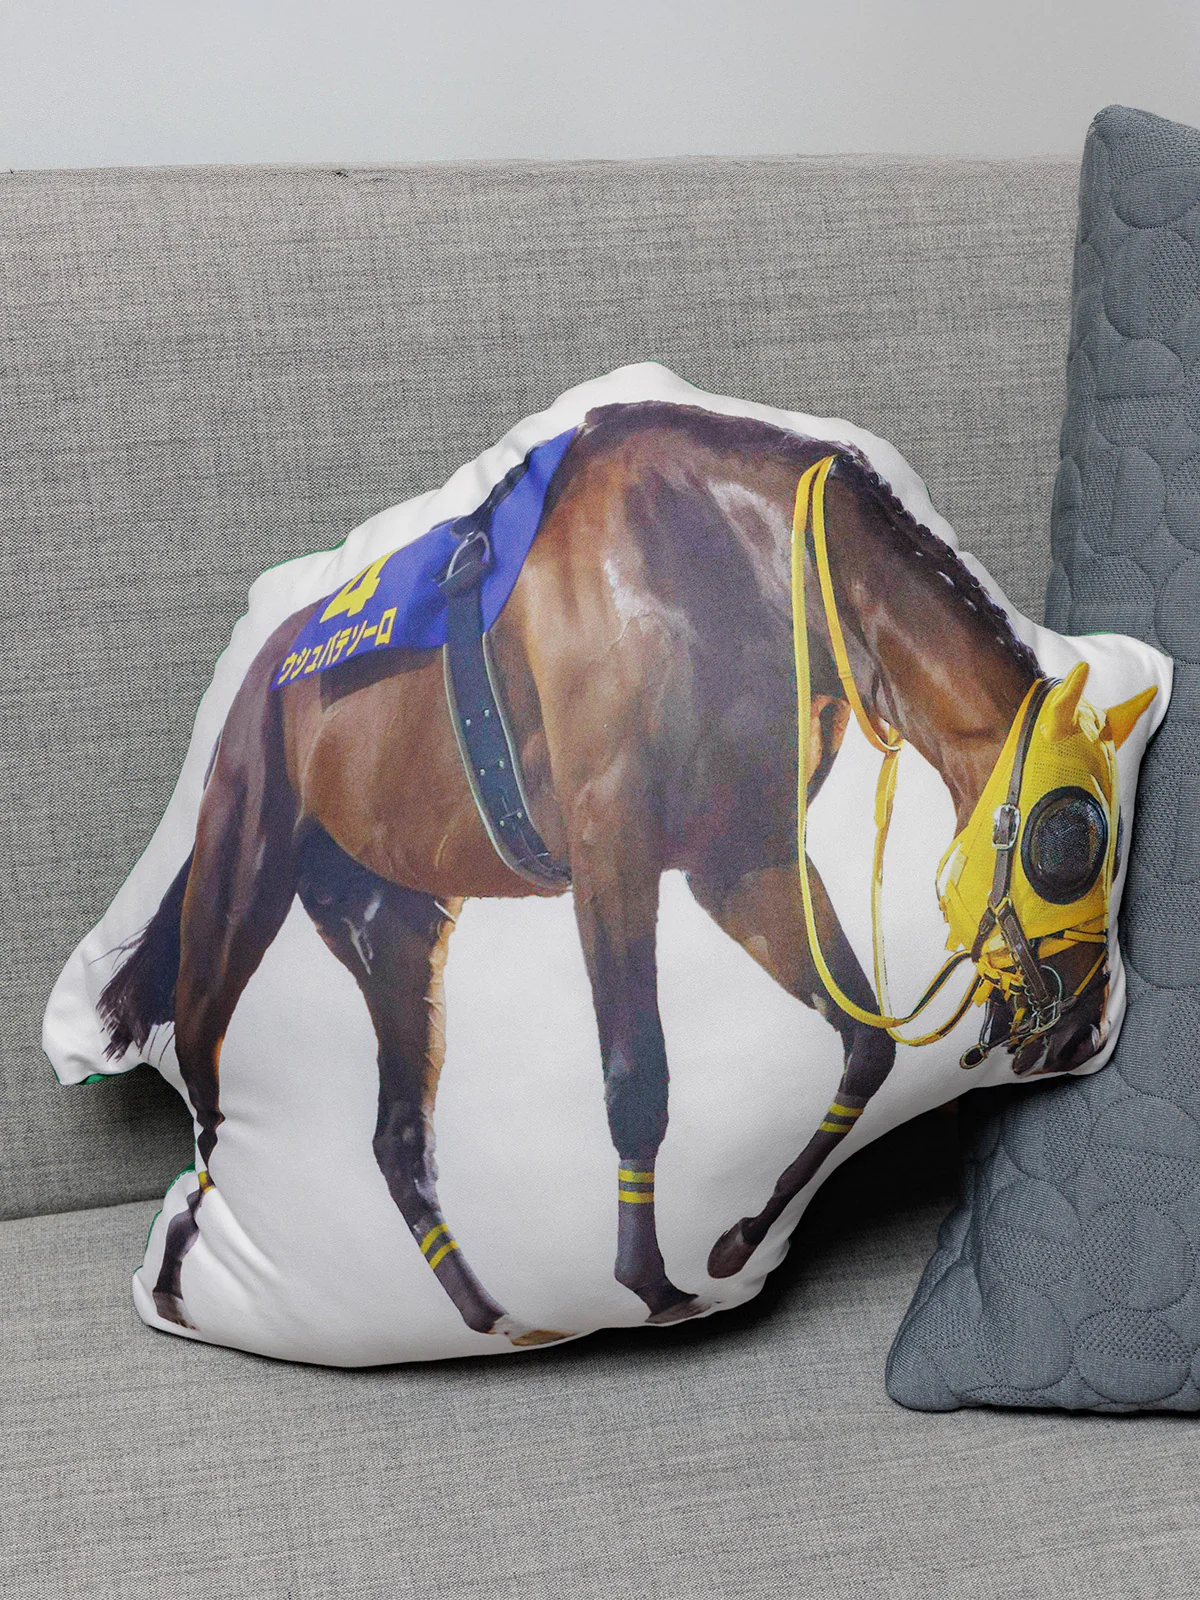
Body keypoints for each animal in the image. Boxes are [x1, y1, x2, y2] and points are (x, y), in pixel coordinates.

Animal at [99, 399, 1131, 1347]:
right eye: (1070, 840)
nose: (1082, 1027)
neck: (738, 556)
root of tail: (262, 678)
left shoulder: (741, 857)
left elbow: (866, 1045)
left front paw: (734, 1238)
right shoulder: (614, 849)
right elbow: (640, 1074)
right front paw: (650, 1277)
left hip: (393, 925)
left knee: (398, 1141)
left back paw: (491, 1314)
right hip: (238, 885)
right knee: (213, 1110)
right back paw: (183, 1268)